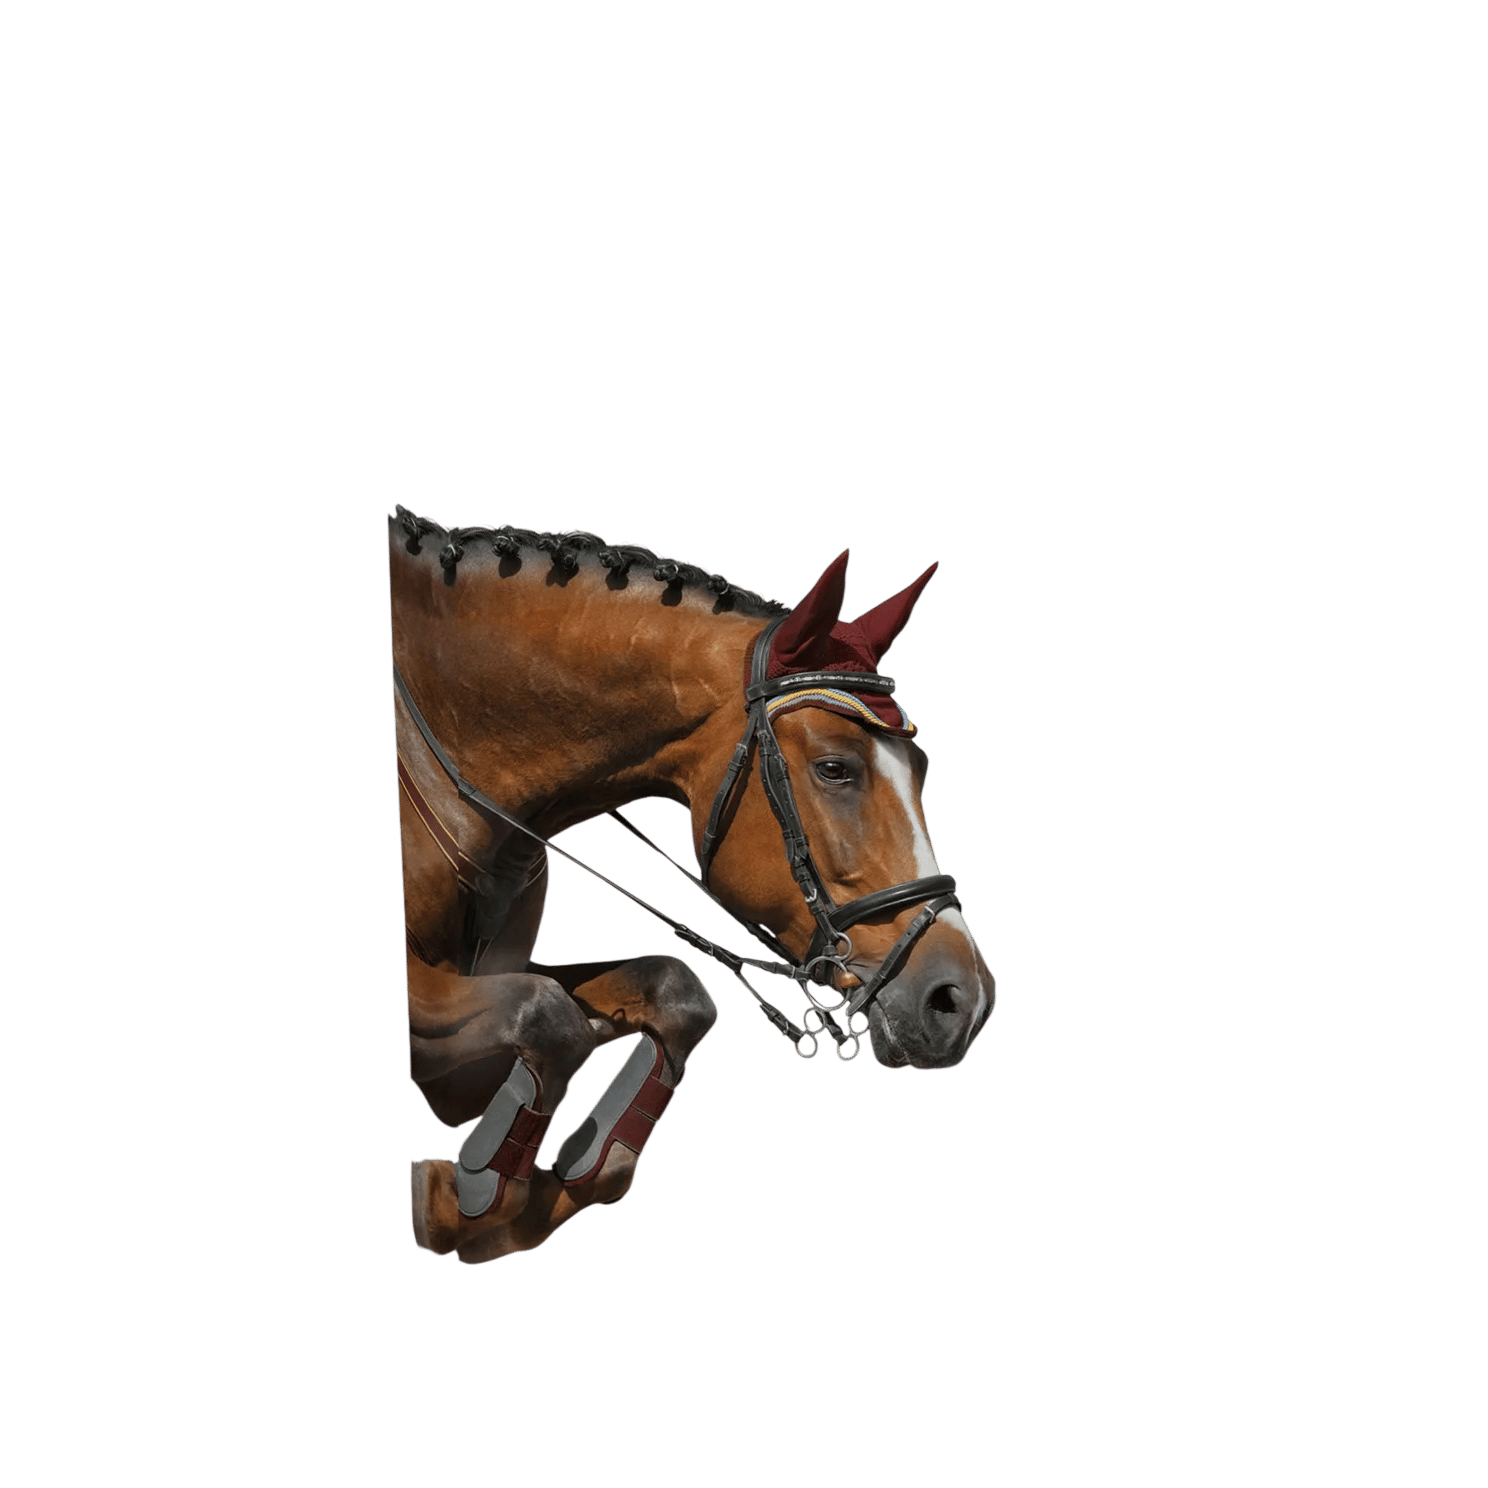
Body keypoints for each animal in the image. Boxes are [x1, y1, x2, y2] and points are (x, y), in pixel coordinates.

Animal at [390, 508, 996, 1264]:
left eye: (920, 767)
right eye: (834, 768)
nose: (961, 1003)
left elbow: (673, 994)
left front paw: (545, 1188)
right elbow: (548, 1016)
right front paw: (466, 1197)